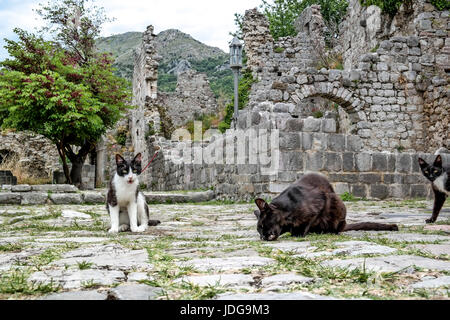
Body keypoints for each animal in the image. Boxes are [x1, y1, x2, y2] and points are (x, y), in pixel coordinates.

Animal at [253, 172, 398, 240]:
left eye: (262, 226)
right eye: (258, 230)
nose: (262, 237)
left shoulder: (320, 204)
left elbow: (306, 223)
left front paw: (298, 234)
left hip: (337, 205)